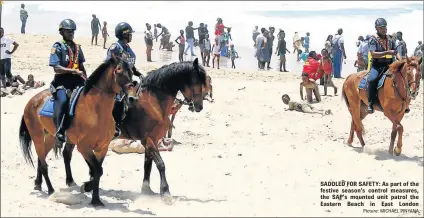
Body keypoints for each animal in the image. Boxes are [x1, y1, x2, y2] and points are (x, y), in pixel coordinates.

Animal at [18, 57, 137, 206]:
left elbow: (97, 172)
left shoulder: (102, 148)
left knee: (41, 159)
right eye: (119, 70)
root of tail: (32, 100)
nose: (132, 98)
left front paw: (96, 200)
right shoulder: (84, 147)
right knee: (44, 164)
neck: (97, 111)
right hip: (37, 136)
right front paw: (86, 187)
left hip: (50, 137)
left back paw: (38, 183)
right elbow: (97, 171)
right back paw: (51, 191)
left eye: (131, 71)